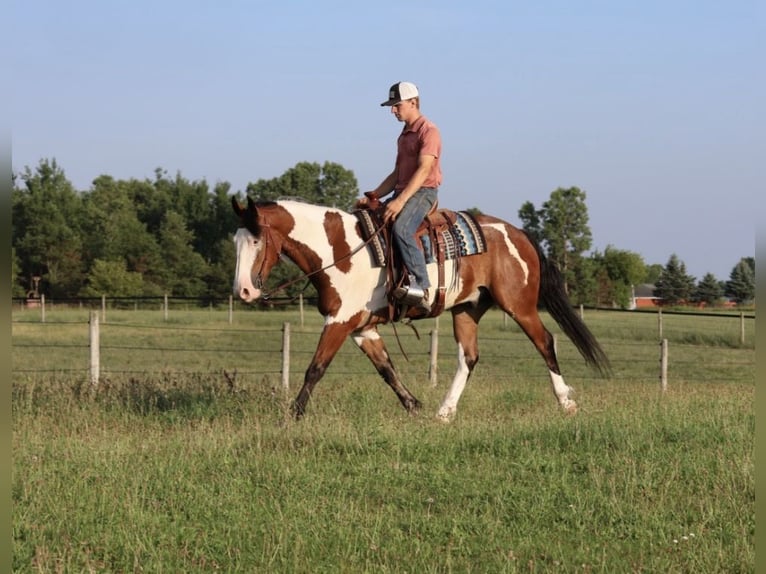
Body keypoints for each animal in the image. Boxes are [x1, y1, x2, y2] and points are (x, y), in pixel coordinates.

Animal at [231, 196, 610, 421]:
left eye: (256, 240)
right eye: (236, 241)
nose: (243, 290)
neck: (339, 250)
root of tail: (518, 233)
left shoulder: (340, 322)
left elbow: (316, 368)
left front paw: (293, 414)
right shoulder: (362, 328)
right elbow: (386, 369)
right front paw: (414, 405)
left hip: (519, 305)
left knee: (545, 342)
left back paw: (566, 401)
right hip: (467, 310)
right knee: (469, 357)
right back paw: (444, 411)